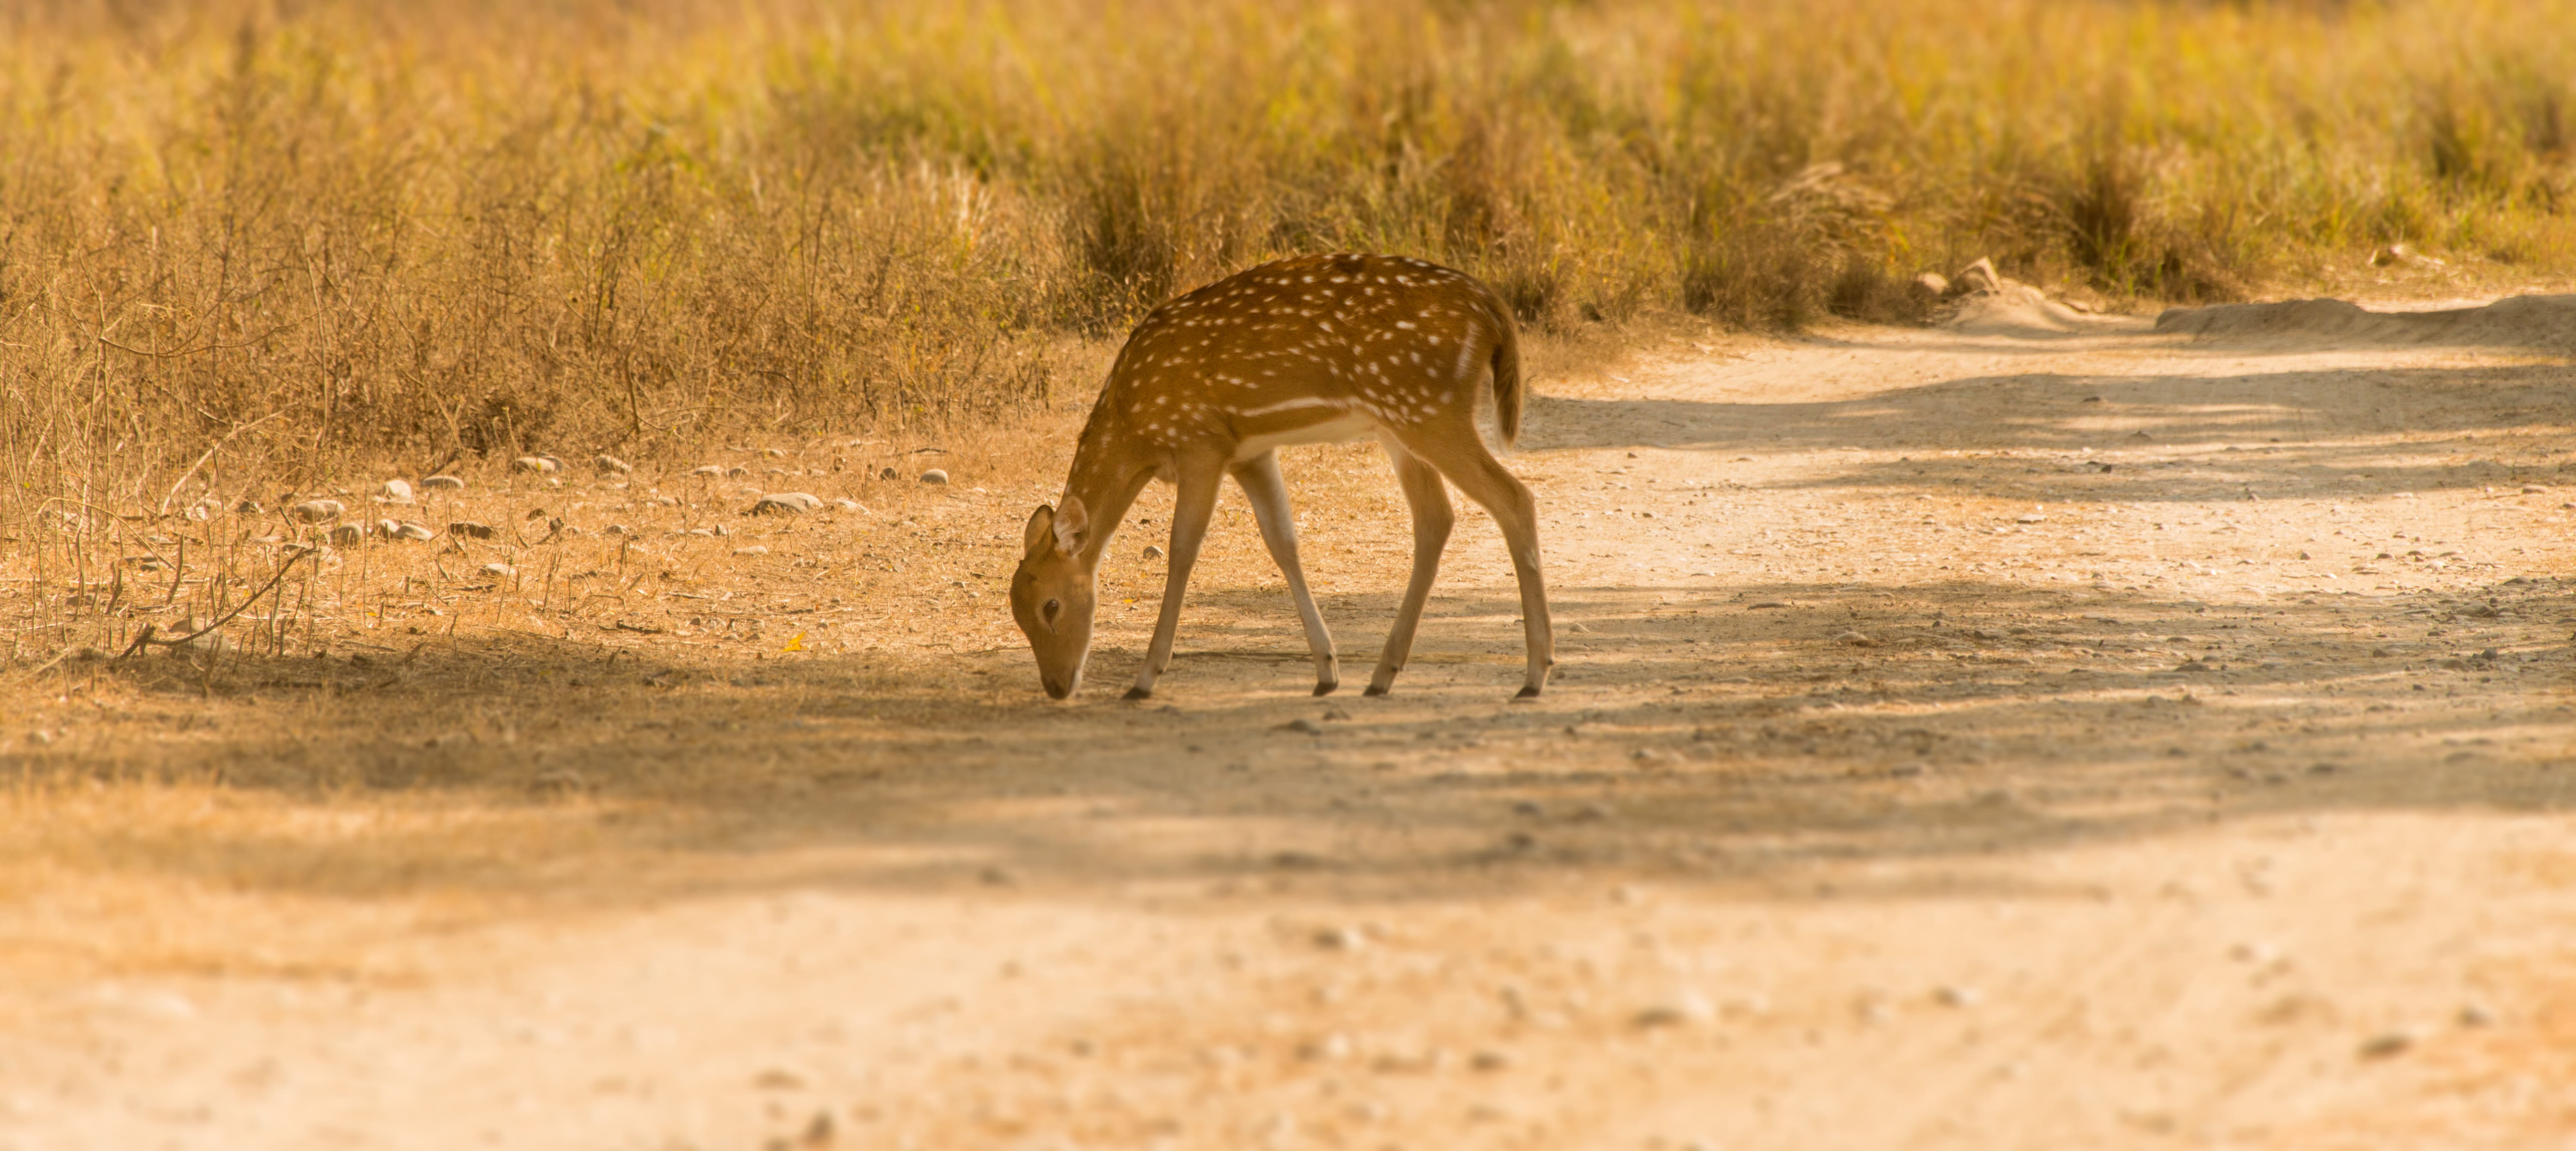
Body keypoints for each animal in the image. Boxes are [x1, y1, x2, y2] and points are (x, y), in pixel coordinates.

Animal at [1010, 252, 1552, 702]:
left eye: (1051, 606)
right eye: (1015, 611)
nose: (1057, 687)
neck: (1137, 429)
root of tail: (1493, 310)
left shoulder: (1201, 441)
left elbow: (1183, 548)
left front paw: (1145, 678)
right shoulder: (1250, 453)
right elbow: (1283, 542)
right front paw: (1326, 670)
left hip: (1430, 408)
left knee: (1514, 497)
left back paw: (1535, 673)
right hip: (1401, 422)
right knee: (1436, 518)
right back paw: (1382, 675)